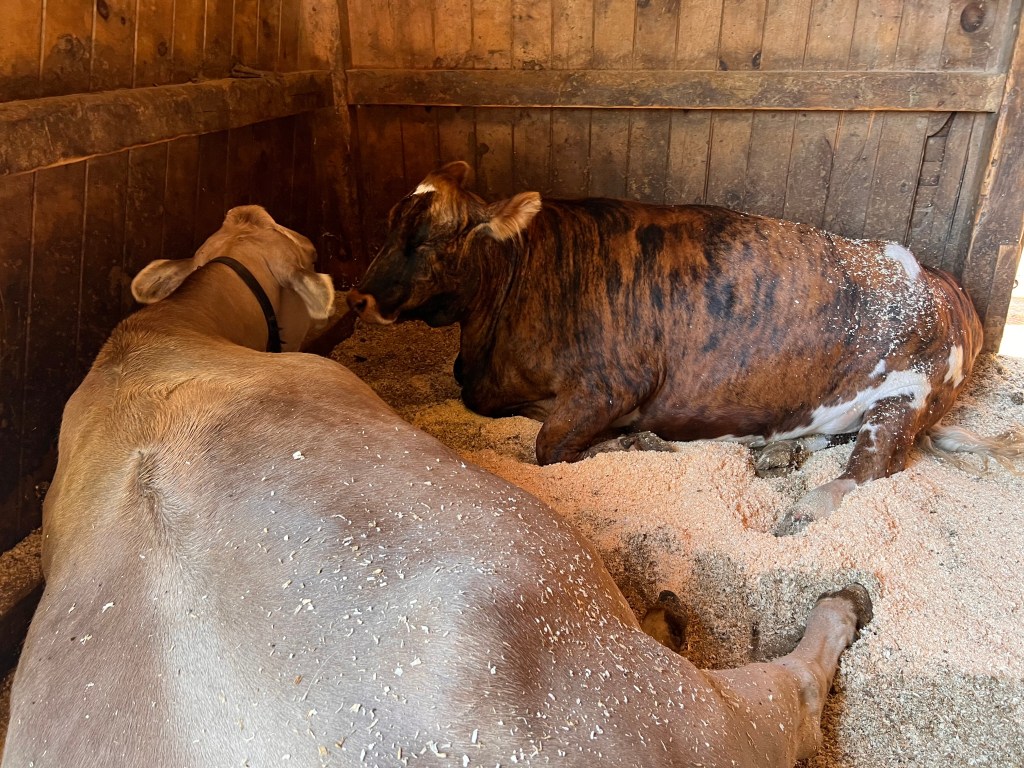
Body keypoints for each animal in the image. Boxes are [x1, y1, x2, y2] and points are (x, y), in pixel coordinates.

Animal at [2, 204, 872, 767]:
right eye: (309, 245)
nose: (248, 203)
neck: (157, 343)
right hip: (665, 712)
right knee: (787, 700)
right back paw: (815, 607)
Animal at [347, 161, 1022, 534]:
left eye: (427, 239)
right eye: (386, 225)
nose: (358, 296)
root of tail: (948, 286)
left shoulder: (615, 382)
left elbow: (548, 447)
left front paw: (631, 442)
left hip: (906, 396)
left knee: (870, 468)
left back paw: (802, 507)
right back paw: (776, 455)